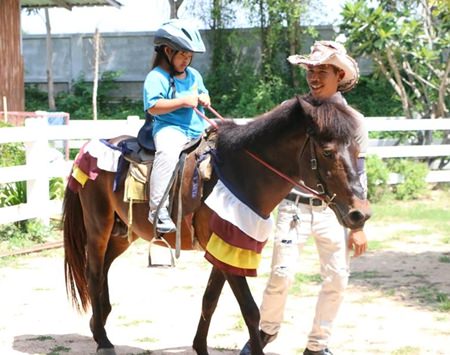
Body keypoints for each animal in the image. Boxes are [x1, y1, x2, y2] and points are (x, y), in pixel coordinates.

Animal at [63, 95, 372, 355]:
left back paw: (99, 322)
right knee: (93, 272)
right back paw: (103, 340)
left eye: (358, 148)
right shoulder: (227, 250)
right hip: (98, 227)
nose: (360, 213)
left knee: (103, 268)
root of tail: (87, 148)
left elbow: (209, 300)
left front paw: (200, 347)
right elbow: (250, 310)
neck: (240, 173)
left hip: (123, 234)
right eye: (328, 152)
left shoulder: (226, 248)